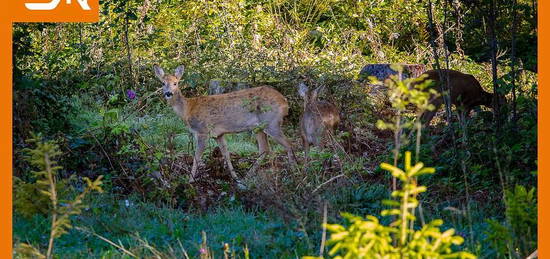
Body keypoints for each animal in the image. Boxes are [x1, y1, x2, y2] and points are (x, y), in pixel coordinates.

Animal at [153, 64, 300, 183]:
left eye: (175, 83)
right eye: (163, 83)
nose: (168, 93)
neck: (188, 109)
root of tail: (284, 101)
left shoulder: (202, 131)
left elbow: (196, 157)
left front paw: (190, 180)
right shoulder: (219, 134)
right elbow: (226, 155)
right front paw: (235, 178)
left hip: (271, 122)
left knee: (289, 144)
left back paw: (295, 173)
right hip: (258, 127)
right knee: (265, 149)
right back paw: (247, 177)